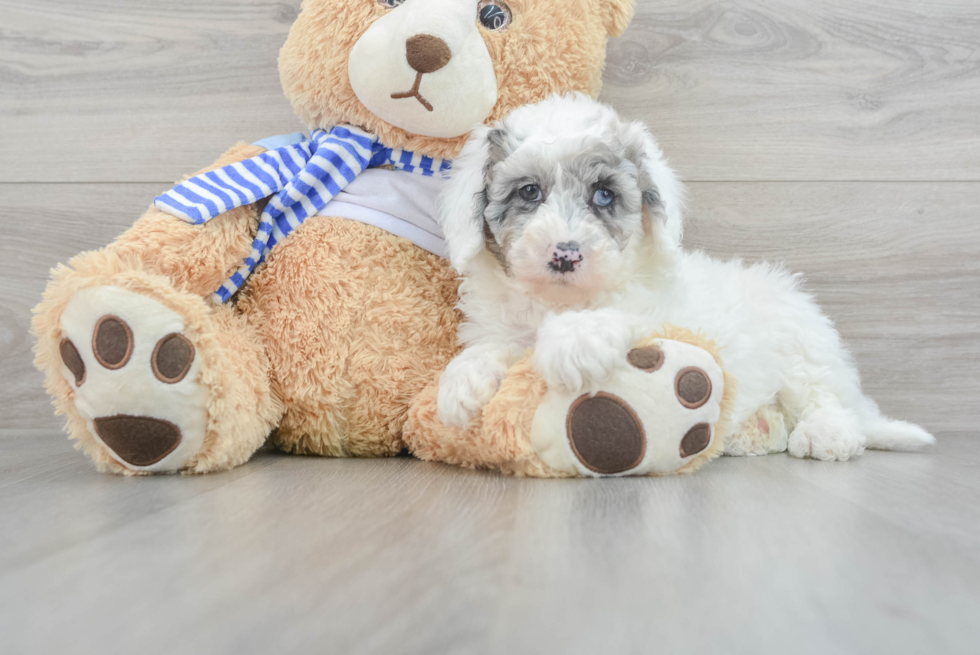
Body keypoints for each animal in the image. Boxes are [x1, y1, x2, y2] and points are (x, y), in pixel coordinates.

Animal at [436, 93, 936, 462]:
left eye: (604, 195)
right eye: (529, 192)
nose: (566, 254)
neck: (559, 301)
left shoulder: (664, 315)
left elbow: (618, 314)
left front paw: (572, 341)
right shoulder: (503, 325)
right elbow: (494, 344)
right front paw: (460, 383)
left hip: (802, 348)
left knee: (827, 398)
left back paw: (826, 435)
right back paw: (753, 432)